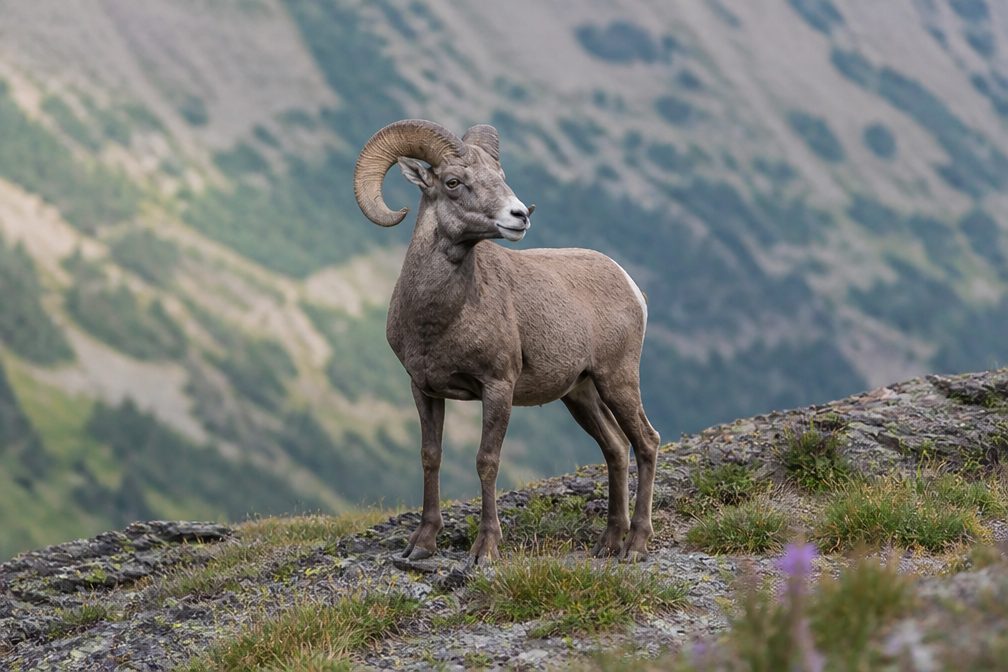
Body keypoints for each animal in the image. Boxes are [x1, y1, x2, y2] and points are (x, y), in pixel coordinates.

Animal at [353, 119, 659, 563]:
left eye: (500, 176)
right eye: (453, 182)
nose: (519, 216)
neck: (439, 319)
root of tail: (630, 284)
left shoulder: (498, 387)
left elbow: (487, 461)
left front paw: (485, 549)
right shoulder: (423, 389)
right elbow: (431, 456)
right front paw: (421, 545)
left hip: (617, 380)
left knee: (646, 443)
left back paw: (635, 545)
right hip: (580, 394)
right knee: (617, 448)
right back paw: (608, 542)